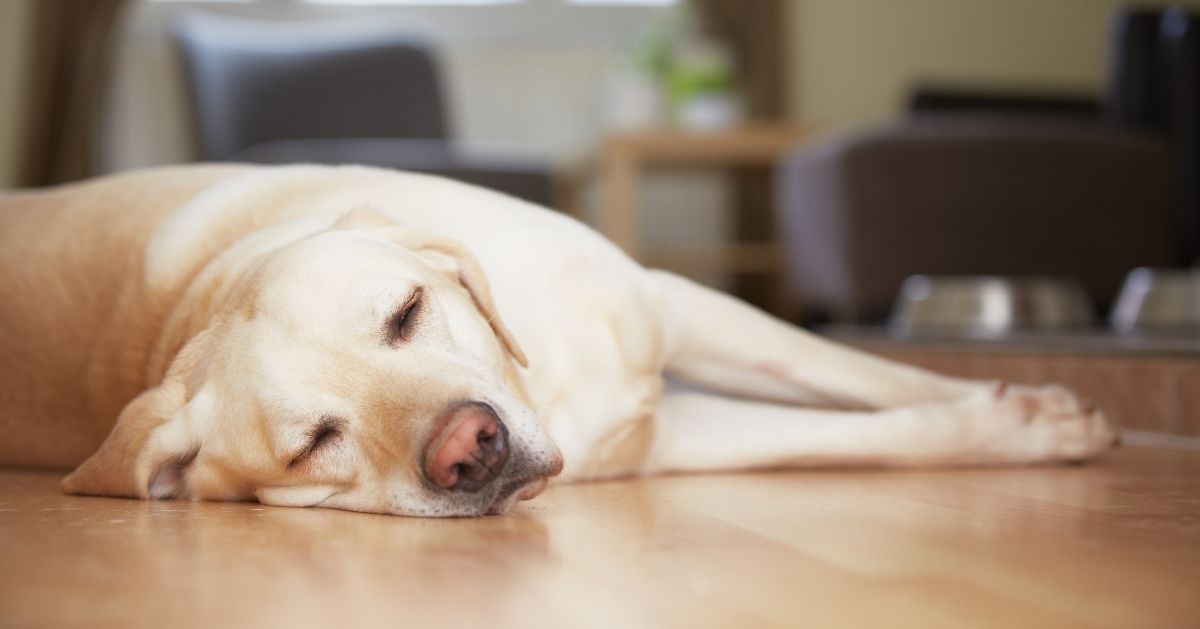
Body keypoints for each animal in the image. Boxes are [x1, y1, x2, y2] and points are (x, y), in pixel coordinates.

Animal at [0, 165, 1113, 516]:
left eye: (406, 310)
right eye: (314, 443)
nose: (470, 449)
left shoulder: (674, 304)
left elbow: (858, 370)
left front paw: (1028, 410)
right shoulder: (670, 438)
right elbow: (852, 435)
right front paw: (1017, 427)